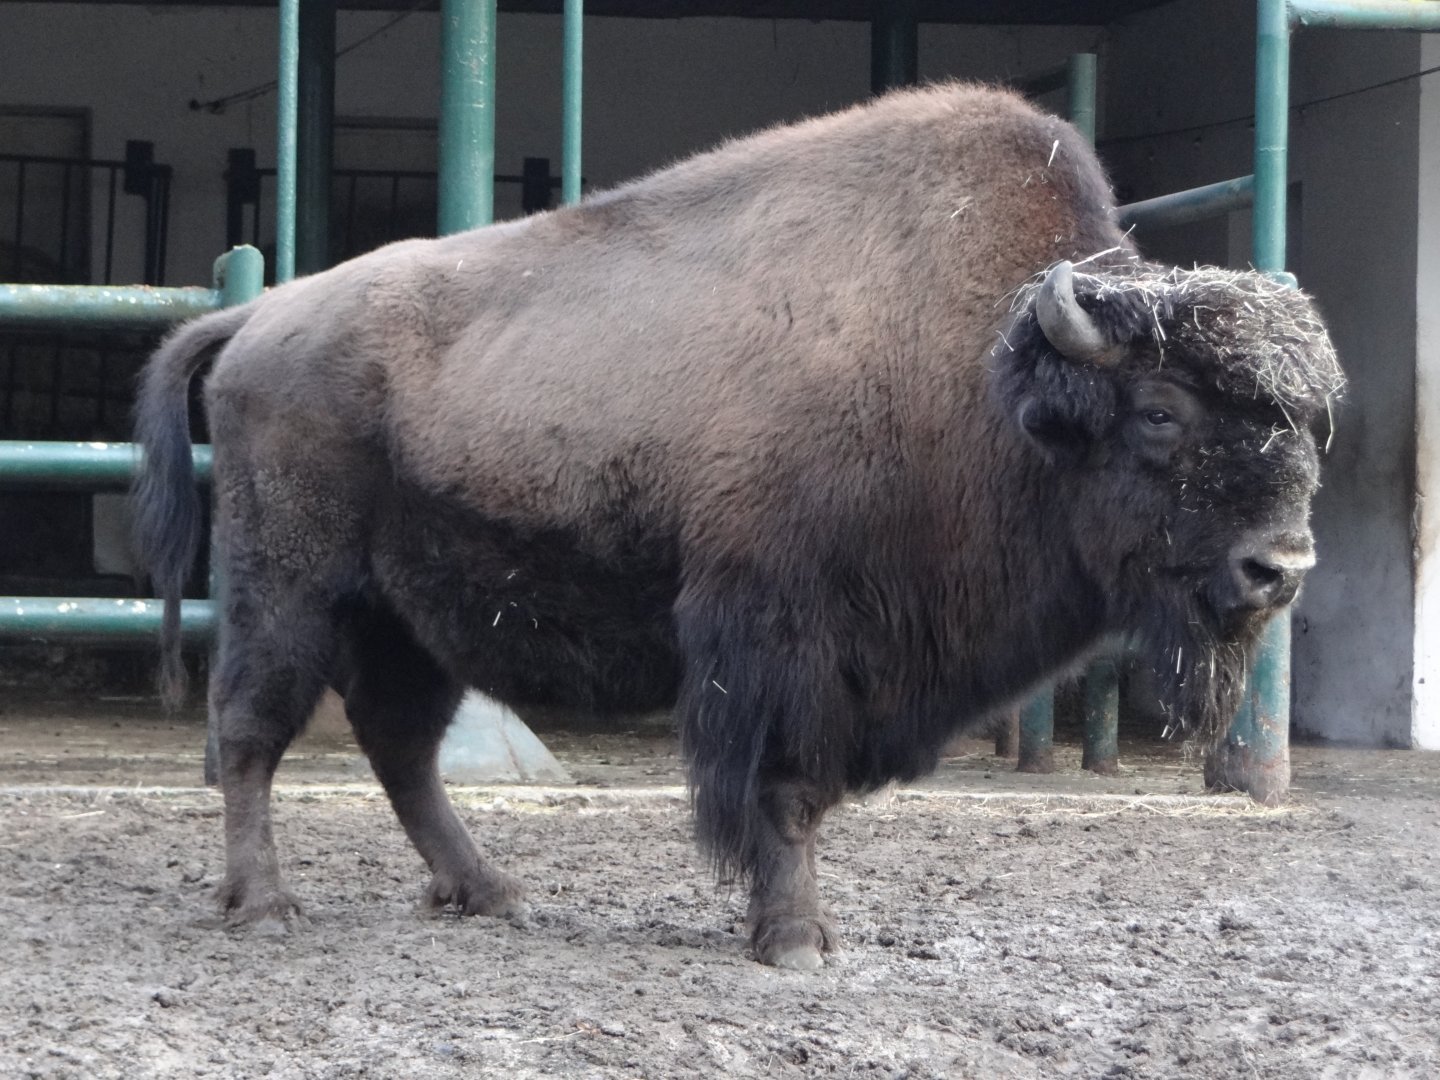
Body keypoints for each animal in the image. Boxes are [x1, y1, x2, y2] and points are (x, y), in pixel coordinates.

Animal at [134, 83, 1343, 970]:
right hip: (290, 589)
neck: (985, 374)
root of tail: (262, 315)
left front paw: (799, 931)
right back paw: (265, 906)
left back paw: (492, 892)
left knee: (399, 744)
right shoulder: (786, 649)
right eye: (1160, 411)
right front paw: (797, 941)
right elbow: (790, 793)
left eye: (1306, 428)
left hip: (409, 618)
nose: (1279, 567)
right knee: (251, 729)